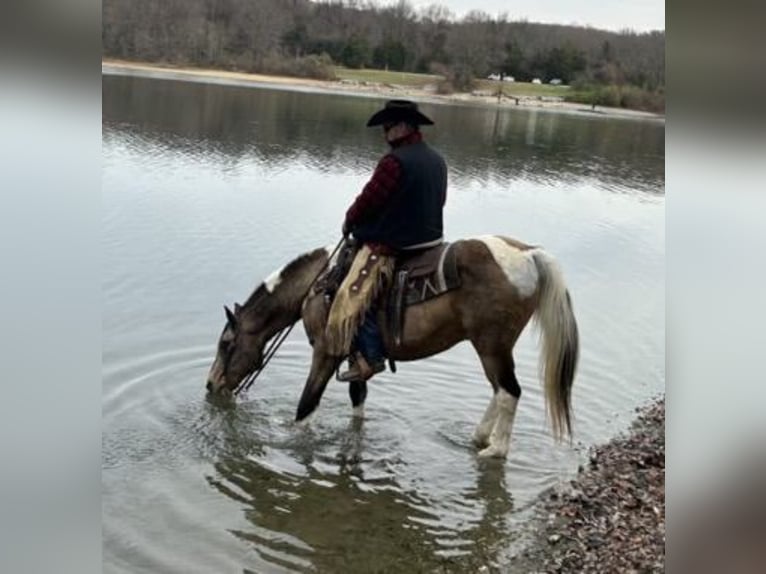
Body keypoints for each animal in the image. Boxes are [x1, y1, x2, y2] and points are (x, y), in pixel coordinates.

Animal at [207, 236, 580, 462]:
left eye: (227, 344)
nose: (211, 385)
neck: (318, 284)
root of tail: (528, 253)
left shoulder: (326, 352)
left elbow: (306, 405)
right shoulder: (354, 357)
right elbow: (357, 401)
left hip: (491, 346)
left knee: (508, 392)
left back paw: (495, 450)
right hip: (492, 349)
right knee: (500, 391)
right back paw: (479, 437)